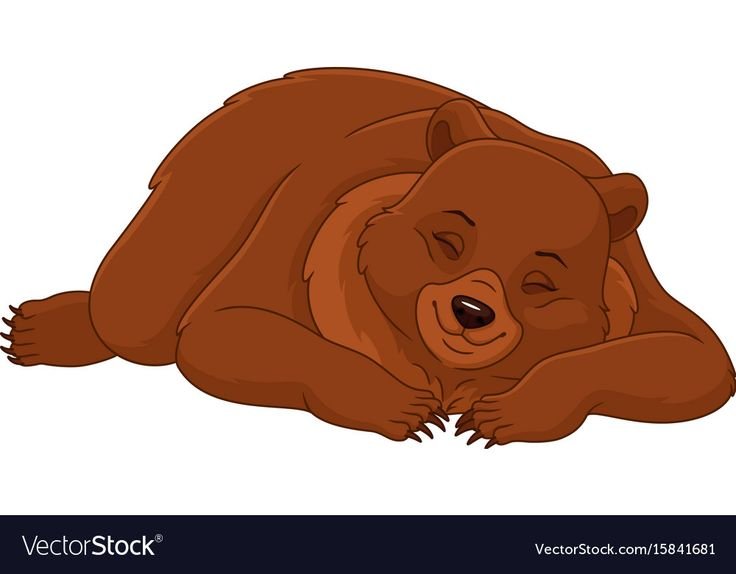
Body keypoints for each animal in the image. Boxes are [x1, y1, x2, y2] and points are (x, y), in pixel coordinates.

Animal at [3, 68, 734, 447]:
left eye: (539, 281)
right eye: (448, 240)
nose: (471, 310)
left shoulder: (633, 271)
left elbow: (690, 356)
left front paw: (499, 413)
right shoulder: (302, 222)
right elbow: (228, 328)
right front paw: (403, 407)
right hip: (202, 200)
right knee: (137, 305)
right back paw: (44, 327)